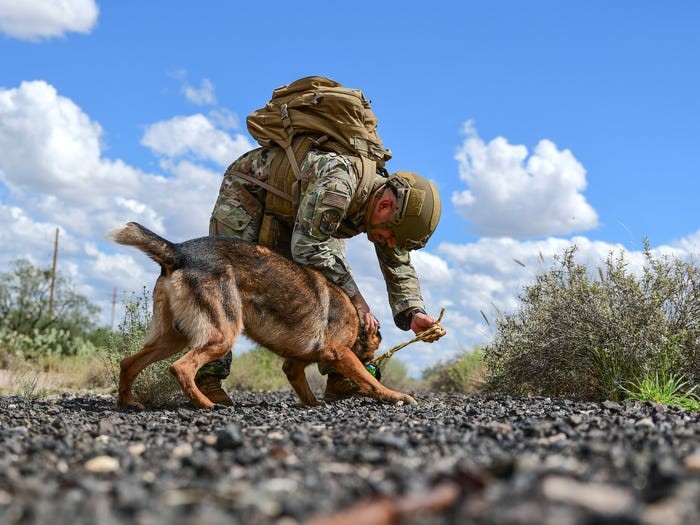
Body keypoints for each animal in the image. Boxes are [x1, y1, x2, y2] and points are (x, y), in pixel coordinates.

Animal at [109, 222, 416, 410]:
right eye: (370, 356)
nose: (377, 366)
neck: (357, 316)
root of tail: (178, 250)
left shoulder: (294, 365)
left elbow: (305, 389)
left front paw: (315, 405)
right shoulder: (339, 352)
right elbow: (371, 382)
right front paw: (395, 395)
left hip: (172, 338)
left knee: (128, 363)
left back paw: (128, 403)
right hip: (221, 335)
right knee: (181, 368)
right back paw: (206, 405)